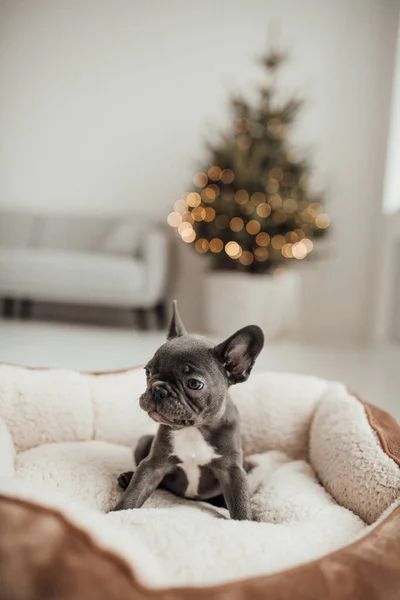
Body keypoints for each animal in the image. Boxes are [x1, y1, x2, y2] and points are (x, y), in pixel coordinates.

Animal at [113, 300, 262, 520]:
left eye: (194, 383)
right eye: (147, 372)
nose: (159, 389)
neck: (195, 429)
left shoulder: (232, 470)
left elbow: (240, 503)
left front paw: (246, 523)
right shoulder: (154, 465)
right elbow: (136, 491)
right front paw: (116, 514)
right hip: (144, 442)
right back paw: (127, 477)